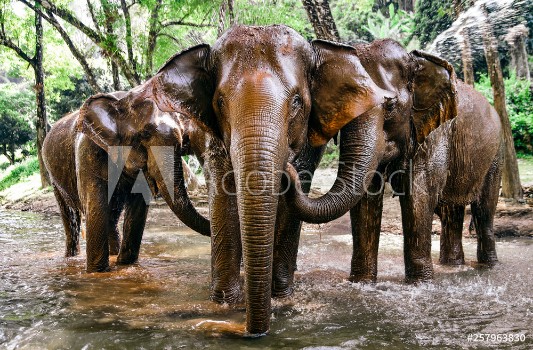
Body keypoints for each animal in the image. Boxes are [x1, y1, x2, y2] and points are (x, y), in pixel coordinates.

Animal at [41, 91, 210, 272]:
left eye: (182, 141)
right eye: (145, 134)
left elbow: (137, 206)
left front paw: (125, 264)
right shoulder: (87, 150)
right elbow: (95, 206)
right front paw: (97, 272)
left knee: (111, 216)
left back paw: (114, 253)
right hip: (54, 177)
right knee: (71, 215)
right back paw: (72, 257)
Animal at [284, 39, 500, 284]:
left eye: (390, 106)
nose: (288, 167)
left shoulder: (434, 130)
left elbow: (419, 194)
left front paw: (420, 283)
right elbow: (367, 197)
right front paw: (362, 282)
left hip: (496, 155)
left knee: (483, 210)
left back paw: (488, 266)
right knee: (451, 212)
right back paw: (453, 265)